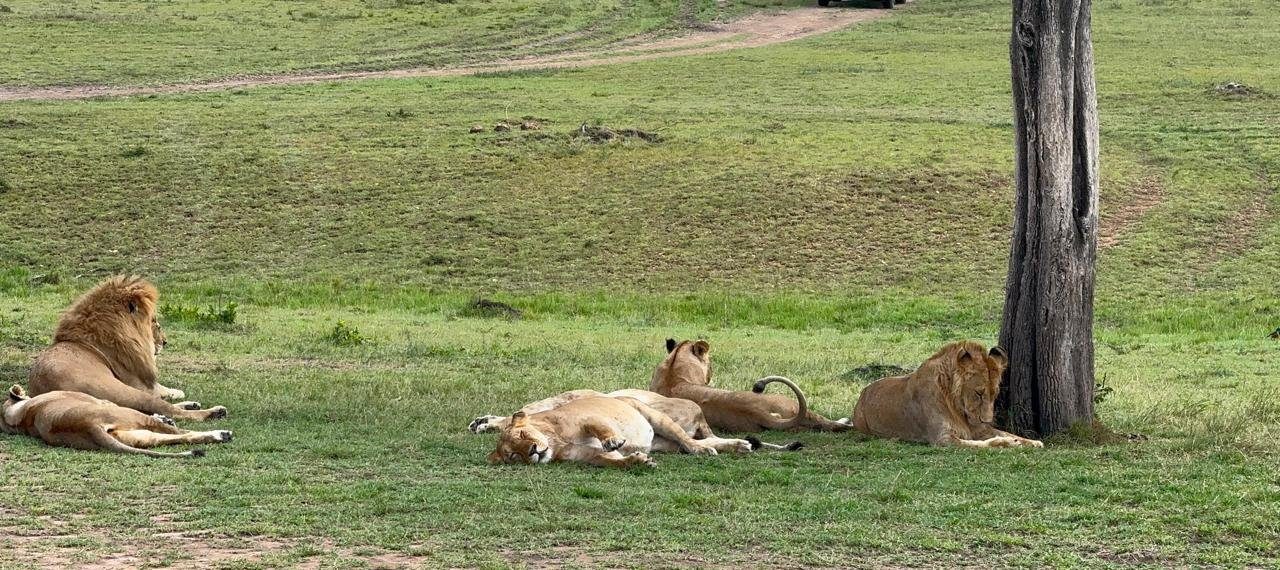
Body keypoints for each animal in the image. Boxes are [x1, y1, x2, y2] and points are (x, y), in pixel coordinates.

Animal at [2, 386, 232, 458]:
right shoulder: (104, 401)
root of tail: (87, 426)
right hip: (125, 413)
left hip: (135, 435)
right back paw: (220, 429)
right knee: (183, 430)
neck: (19, 416)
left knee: (172, 438)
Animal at [28, 276, 227, 422]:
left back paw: (193, 404)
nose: (165, 342)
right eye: (154, 321)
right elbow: (162, 390)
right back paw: (215, 411)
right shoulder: (138, 382)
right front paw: (177, 392)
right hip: (125, 391)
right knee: (170, 410)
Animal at [851, 341, 1044, 448]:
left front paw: (1032, 442)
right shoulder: (942, 438)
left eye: (994, 393)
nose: (987, 420)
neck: (956, 405)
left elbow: (1007, 433)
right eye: (978, 393)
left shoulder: (980, 428)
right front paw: (1004, 443)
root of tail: (862, 394)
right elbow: (978, 444)